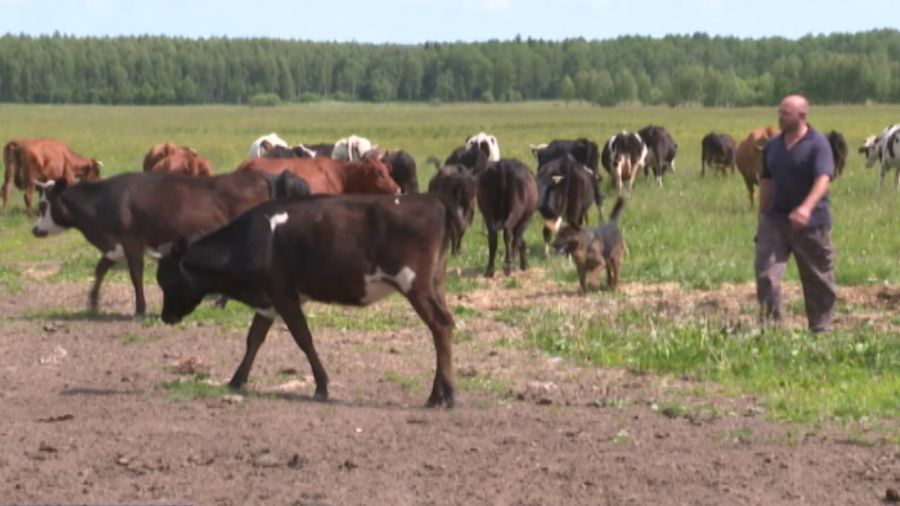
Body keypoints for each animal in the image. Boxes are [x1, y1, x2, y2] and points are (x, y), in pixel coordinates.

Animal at [29, 168, 312, 314]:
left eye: (44, 204)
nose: (35, 230)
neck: (107, 200)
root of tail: (260, 175)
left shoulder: (132, 241)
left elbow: (135, 274)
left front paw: (140, 309)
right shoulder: (117, 245)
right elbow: (101, 268)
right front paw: (93, 302)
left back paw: (221, 302)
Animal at [156, 194, 464, 408]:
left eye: (165, 279)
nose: (165, 317)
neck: (251, 242)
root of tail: (432, 201)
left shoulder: (284, 296)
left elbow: (303, 338)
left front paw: (321, 386)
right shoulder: (268, 302)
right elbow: (254, 339)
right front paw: (236, 380)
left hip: (415, 285)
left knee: (440, 325)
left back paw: (447, 395)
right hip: (435, 284)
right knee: (444, 326)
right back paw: (437, 394)